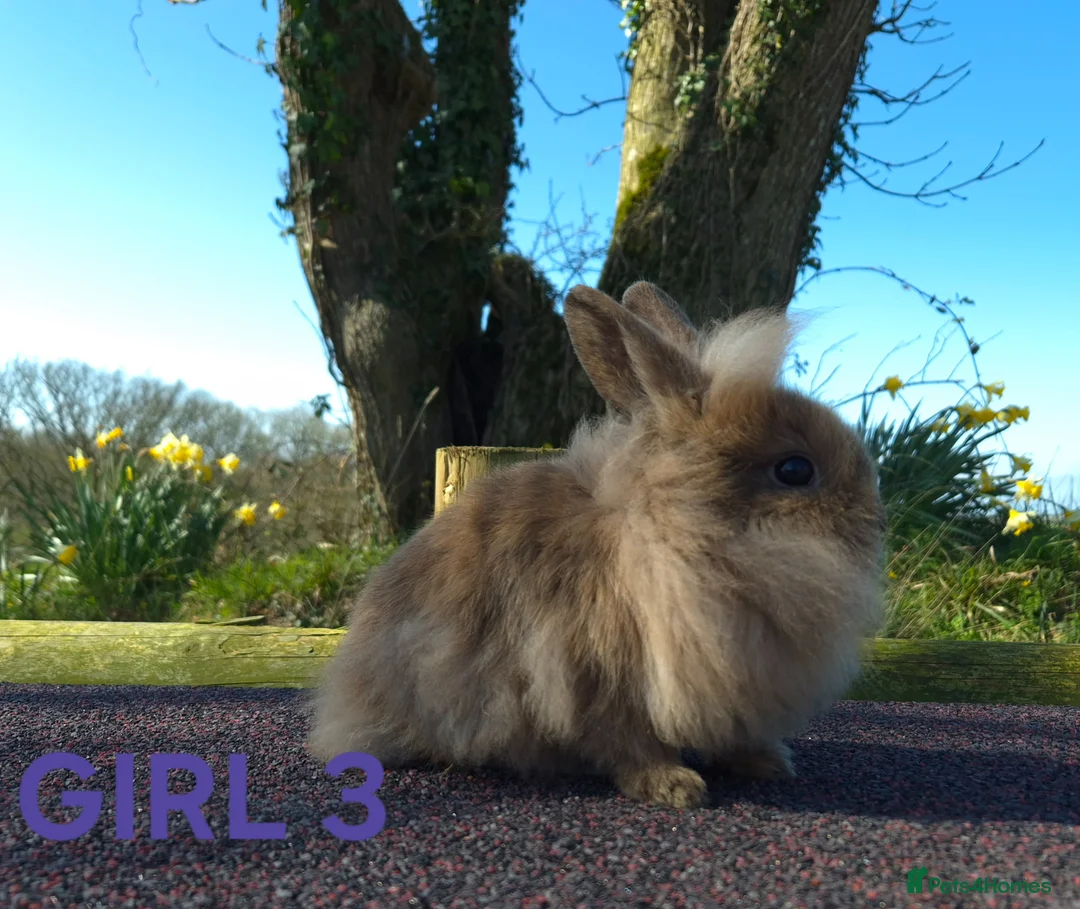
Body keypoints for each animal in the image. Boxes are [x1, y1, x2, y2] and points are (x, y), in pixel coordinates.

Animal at [306, 281, 887, 809]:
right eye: (795, 470)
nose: (876, 525)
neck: (678, 532)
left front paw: (769, 762)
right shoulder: (594, 676)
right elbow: (629, 743)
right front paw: (675, 787)